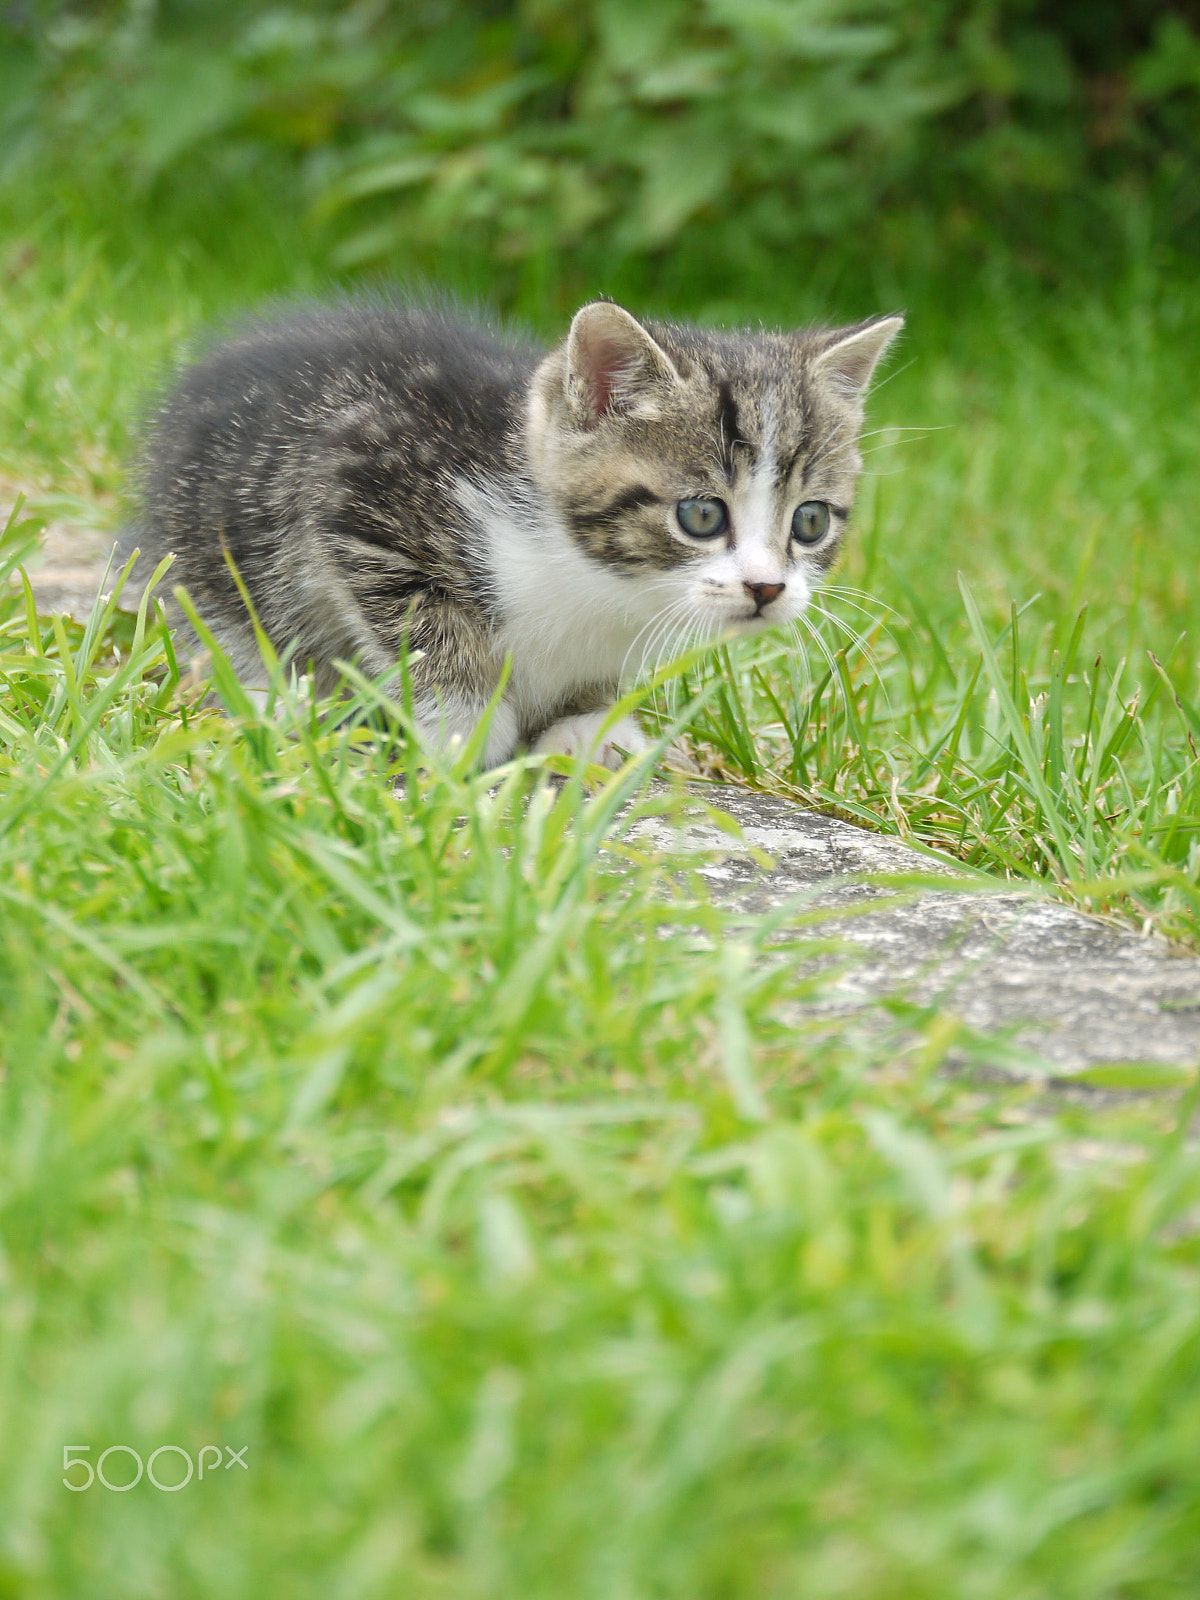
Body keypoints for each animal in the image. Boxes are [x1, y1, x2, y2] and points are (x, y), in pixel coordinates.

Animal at [129, 296, 902, 768]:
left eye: (809, 521)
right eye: (702, 515)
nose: (767, 588)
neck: (602, 588)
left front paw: (590, 723)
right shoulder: (359, 494)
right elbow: (426, 625)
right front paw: (462, 730)